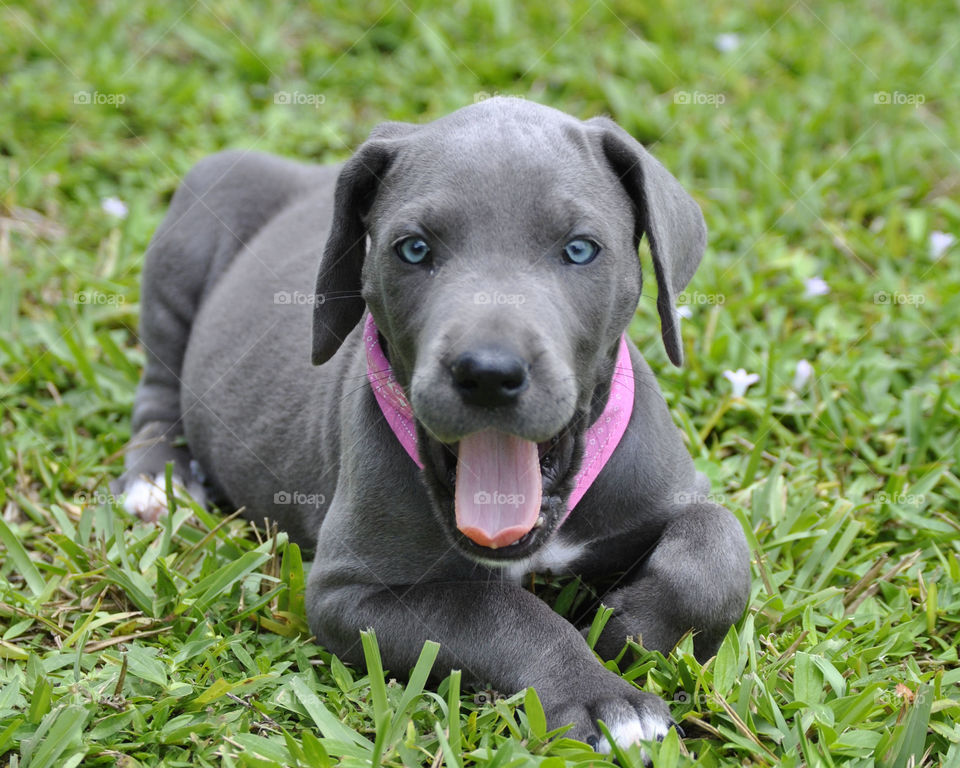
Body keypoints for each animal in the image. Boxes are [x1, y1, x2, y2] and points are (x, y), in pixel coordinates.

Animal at [118, 99, 752, 752]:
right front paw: (601, 696)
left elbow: (718, 548)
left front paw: (630, 629)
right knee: (158, 391)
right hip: (194, 225)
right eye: (415, 249)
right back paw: (156, 483)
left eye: (580, 250)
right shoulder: (351, 594)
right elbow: (497, 612)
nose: (488, 373)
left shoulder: (668, 495)